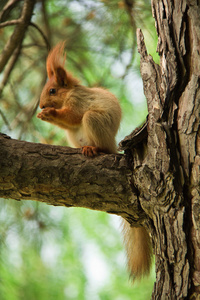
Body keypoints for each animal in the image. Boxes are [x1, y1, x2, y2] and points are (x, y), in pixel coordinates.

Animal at [36, 42, 152, 278]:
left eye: (52, 90)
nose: (41, 105)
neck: (70, 92)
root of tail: (111, 143)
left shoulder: (78, 103)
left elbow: (71, 116)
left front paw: (50, 113)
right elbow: (68, 122)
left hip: (93, 120)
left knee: (97, 139)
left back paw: (93, 148)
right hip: (73, 135)